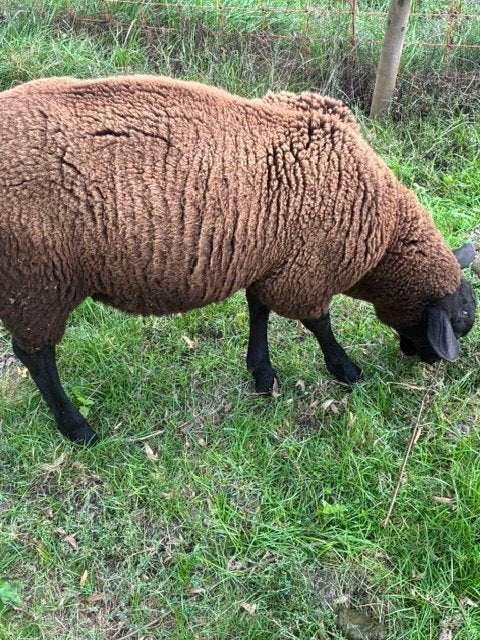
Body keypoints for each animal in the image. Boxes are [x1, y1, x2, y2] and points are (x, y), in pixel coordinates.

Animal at [0, 75, 476, 445]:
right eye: (457, 325)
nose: (426, 362)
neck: (385, 232)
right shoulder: (305, 273)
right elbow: (318, 324)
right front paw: (346, 370)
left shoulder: (271, 261)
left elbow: (258, 310)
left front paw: (262, 375)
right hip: (35, 280)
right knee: (35, 356)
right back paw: (77, 428)